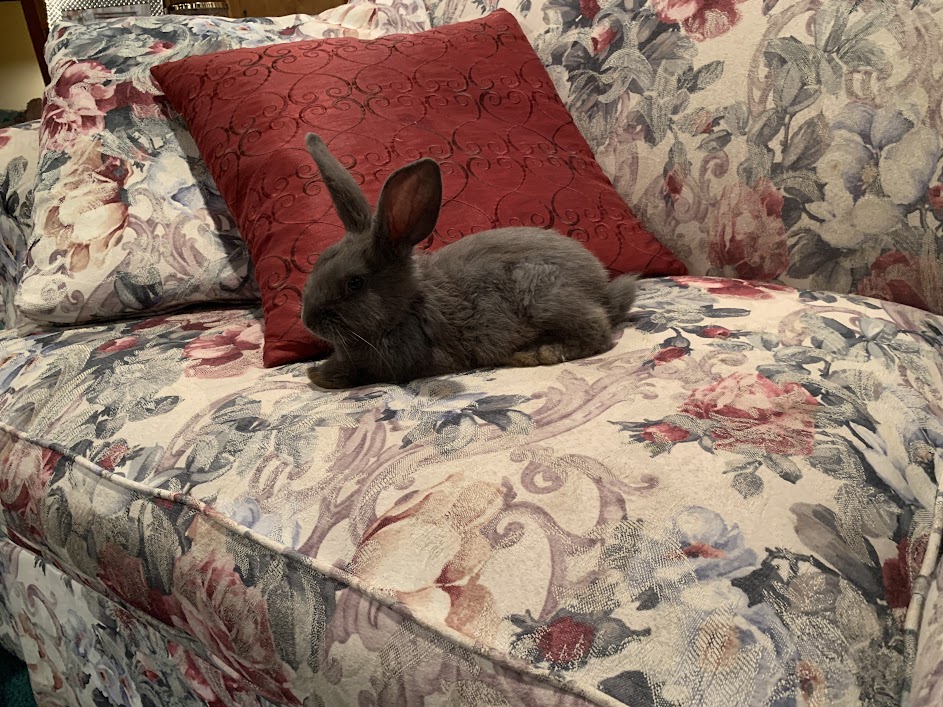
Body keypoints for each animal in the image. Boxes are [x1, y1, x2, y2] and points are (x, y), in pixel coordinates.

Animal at [300, 133, 638, 389]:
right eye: (318, 264)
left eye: (355, 283)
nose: (308, 321)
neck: (408, 306)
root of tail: (603, 289)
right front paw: (316, 372)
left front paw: (319, 375)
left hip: (545, 297)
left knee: (597, 331)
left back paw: (535, 353)